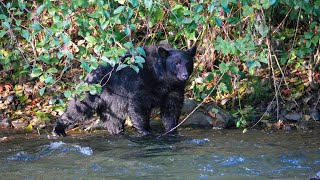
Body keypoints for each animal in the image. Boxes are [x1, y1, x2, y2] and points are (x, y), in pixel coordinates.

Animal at [52, 45, 196, 136]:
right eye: (176, 63)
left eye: (188, 62)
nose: (184, 75)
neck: (162, 79)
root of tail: (90, 73)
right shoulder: (140, 83)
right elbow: (139, 107)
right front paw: (146, 131)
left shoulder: (174, 90)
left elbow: (171, 109)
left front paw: (172, 130)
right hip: (94, 91)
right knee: (79, 108)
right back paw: (58, 129)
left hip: (112, 103)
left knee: (114, 119)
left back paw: (117, 132)